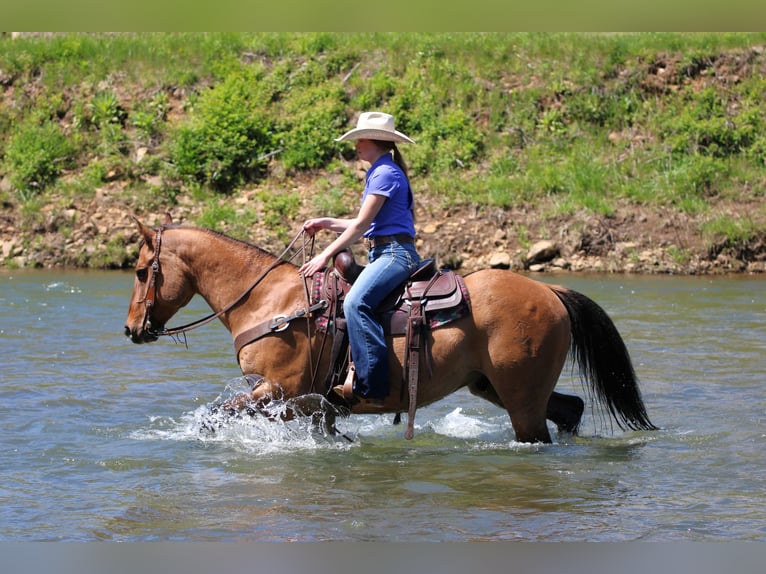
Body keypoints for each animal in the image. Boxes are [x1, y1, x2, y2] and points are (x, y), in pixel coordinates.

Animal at [124, 215, 657, 443]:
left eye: (140, 270)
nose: (131, 329)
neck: (269, 301)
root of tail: (550, 291)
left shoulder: (278, 391)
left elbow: (215, 417)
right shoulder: (306, 403)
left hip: (519, 396)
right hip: (495, 387)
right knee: (570, 409)